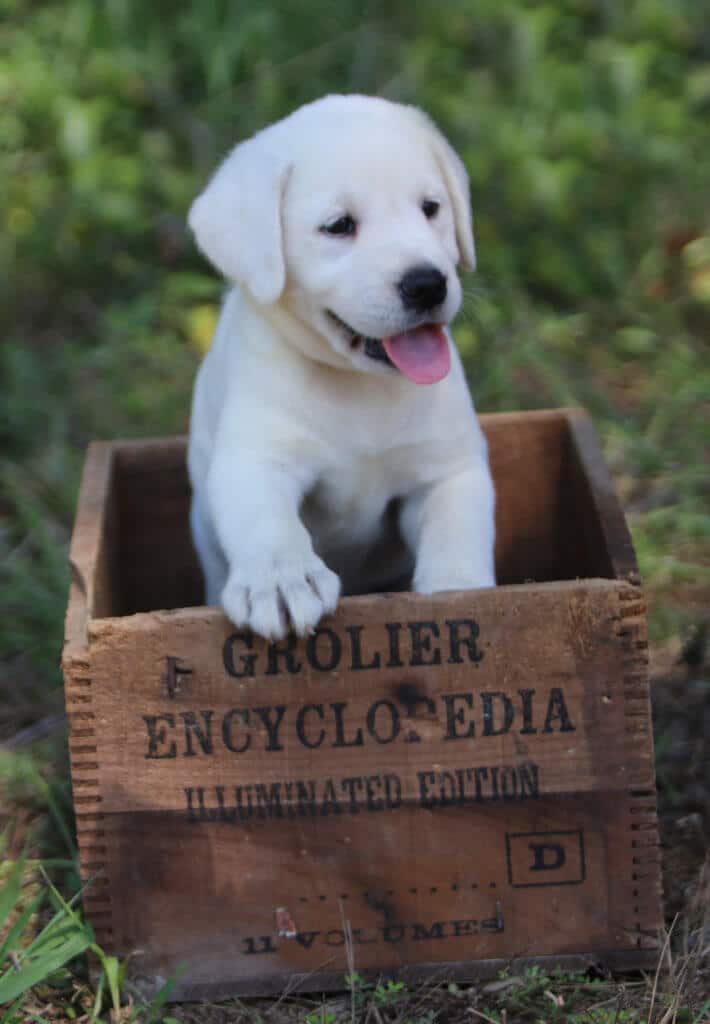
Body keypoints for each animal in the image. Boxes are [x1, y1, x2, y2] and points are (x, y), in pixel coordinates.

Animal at [189, 96, 493, 638]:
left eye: (430, 208)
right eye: (339, 226)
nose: (427, 284)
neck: (361, 387)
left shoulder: (448, 468)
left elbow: (456, 530)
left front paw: (459, 590)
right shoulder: (256, 457)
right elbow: (265, 520)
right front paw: (281, 579)